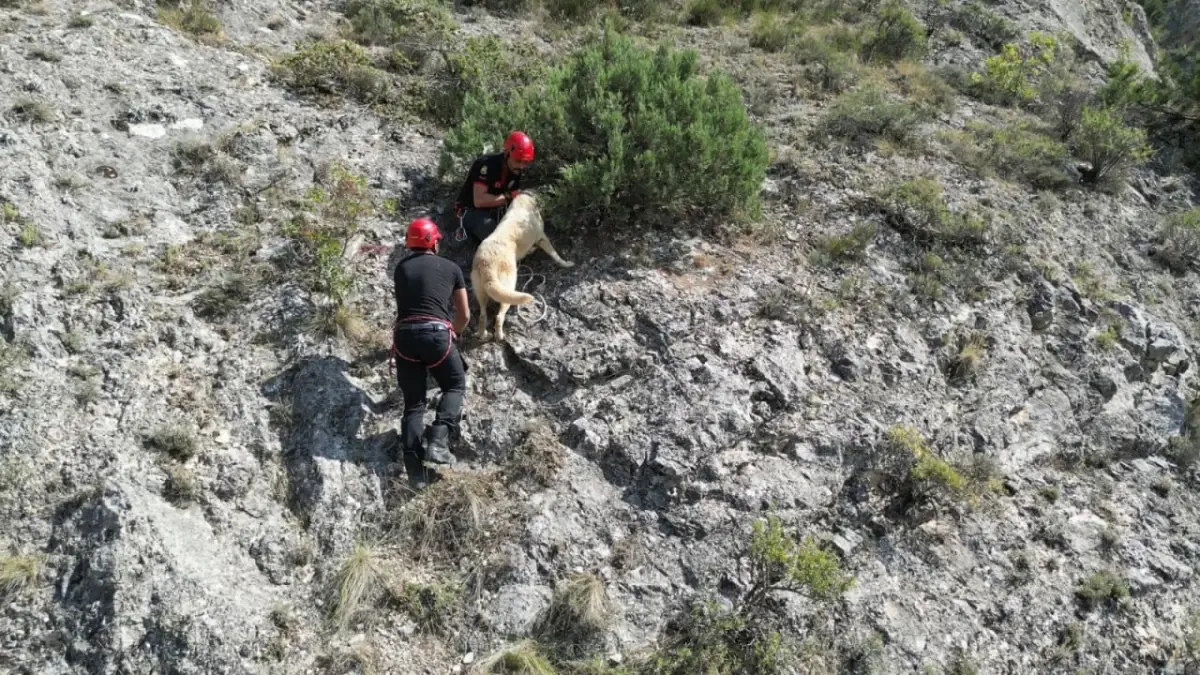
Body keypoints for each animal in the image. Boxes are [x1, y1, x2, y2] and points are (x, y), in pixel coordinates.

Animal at [470, 190, 573, 338]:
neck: (524, 201)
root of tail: (486, 263)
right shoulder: (542, 238)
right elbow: (555, 254)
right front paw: (566, 263)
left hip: (481, 292)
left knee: (483, 316)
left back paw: (484, 335)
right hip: (508, 287)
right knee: (499, 316)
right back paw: (500, 336)